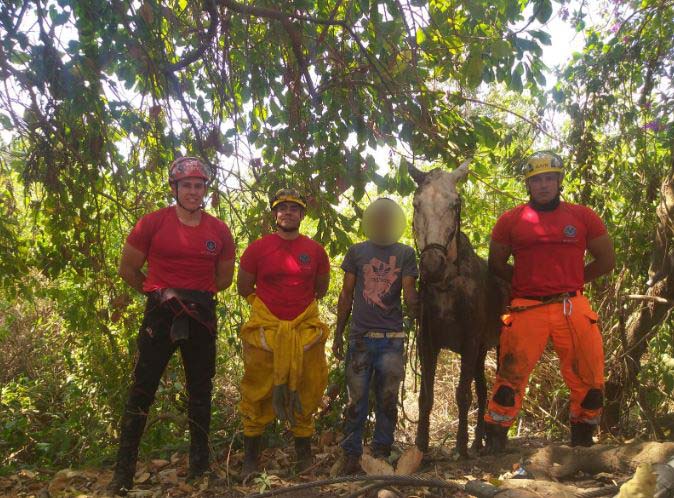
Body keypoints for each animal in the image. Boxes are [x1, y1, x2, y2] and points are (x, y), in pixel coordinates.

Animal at [404, 161, 510, 458]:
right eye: (416, 203)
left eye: (456, 203)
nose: (432, 265)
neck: (447, 286)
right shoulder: (427, 342)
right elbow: (425, 396)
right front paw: (421, 445)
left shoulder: (470, 341)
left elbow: (463, 395)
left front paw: (460, 445)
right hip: (481, 352)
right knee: (483, 390)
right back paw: (479, 441)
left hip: (498, 345)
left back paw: (495, 440)